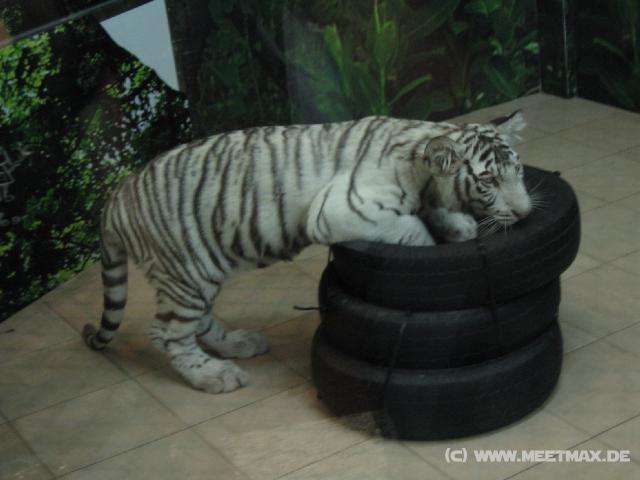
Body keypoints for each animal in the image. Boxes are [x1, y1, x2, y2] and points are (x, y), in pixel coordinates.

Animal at [82, 110, 531, 393]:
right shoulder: (340, 211)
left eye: (519, 170)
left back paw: (237, 345)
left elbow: (432, 212)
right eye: (488, 180)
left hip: (201, 273)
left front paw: (457, 225)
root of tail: (114, 198)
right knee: (167, 333)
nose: (526, 213)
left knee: (195, 323)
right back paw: (214, 376)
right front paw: (437, 240)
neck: (420, 155)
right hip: (183, 273)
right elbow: (411, 229)